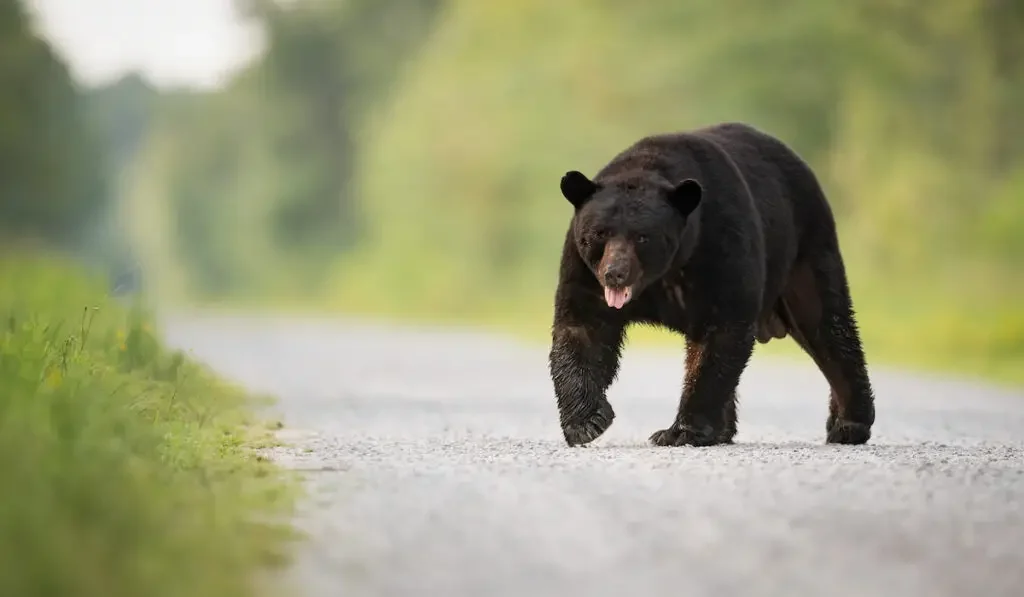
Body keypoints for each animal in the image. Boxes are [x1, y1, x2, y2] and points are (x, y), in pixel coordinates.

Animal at [548, 122, 876, 448]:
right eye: (600, 233)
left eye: (642, 237)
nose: (615, 273)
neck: (666, 271)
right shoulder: (583, 270)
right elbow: (582, 328)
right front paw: (587, 422)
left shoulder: (720, 245)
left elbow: (721, 334)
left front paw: (682, 431)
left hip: (805, 249)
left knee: (827, 323)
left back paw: (849, 424)